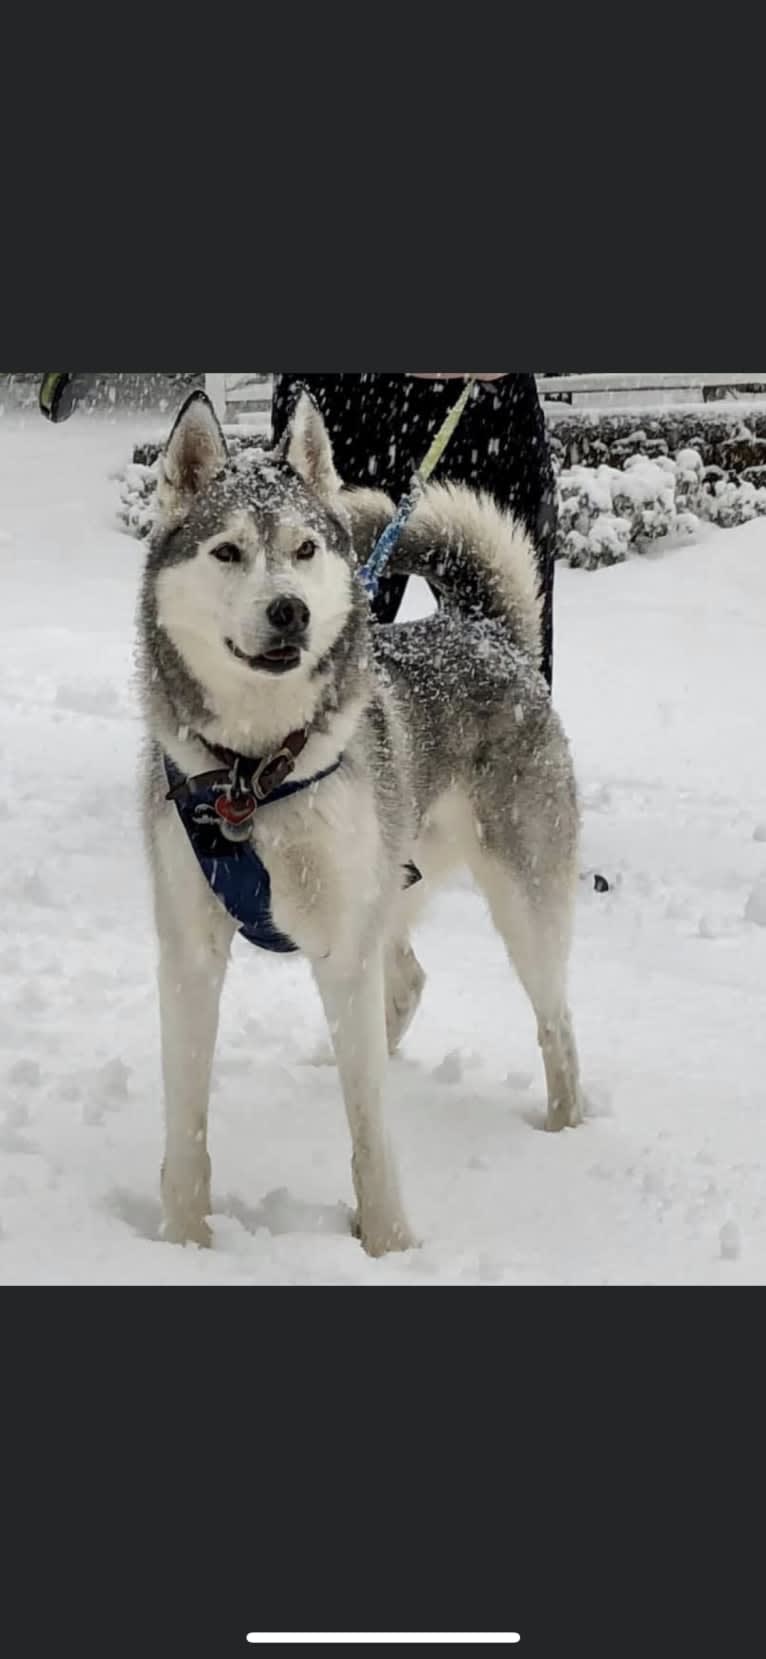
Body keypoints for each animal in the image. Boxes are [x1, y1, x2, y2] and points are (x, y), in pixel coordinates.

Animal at [139, 381, 580, 1247]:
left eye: (307, 549)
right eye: (227, 552)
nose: (289, 611)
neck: (254, 771)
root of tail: (483, 631)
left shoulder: (342, 945)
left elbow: (371, 1126)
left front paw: (386, 1240)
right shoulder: (189, 950)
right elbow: (186, 1122)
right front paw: (182, 1240)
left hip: (522, 901)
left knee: (557, 1023)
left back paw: (566, 1131)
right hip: (390, 876)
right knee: (405, 980)